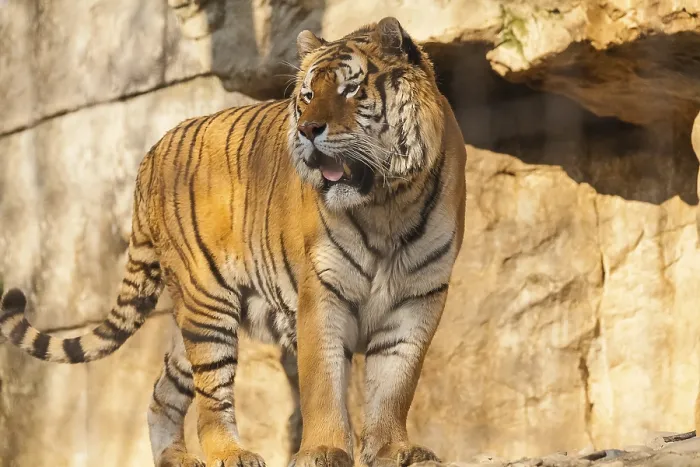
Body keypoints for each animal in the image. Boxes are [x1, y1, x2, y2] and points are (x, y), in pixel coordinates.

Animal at [0, 16, 467, 467]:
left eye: (350, 89)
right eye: (307, 95)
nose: (308, 129)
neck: (388, 204)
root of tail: (150, 154)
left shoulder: (419, 297)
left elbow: (395, 384)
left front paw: (394, 451)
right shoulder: (323, 293)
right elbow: (323, 383)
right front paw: (323, 451)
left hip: (188, 321)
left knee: (162, 393)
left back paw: (176, 459)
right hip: (207, 306)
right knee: (211, 401)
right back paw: (230, 454)